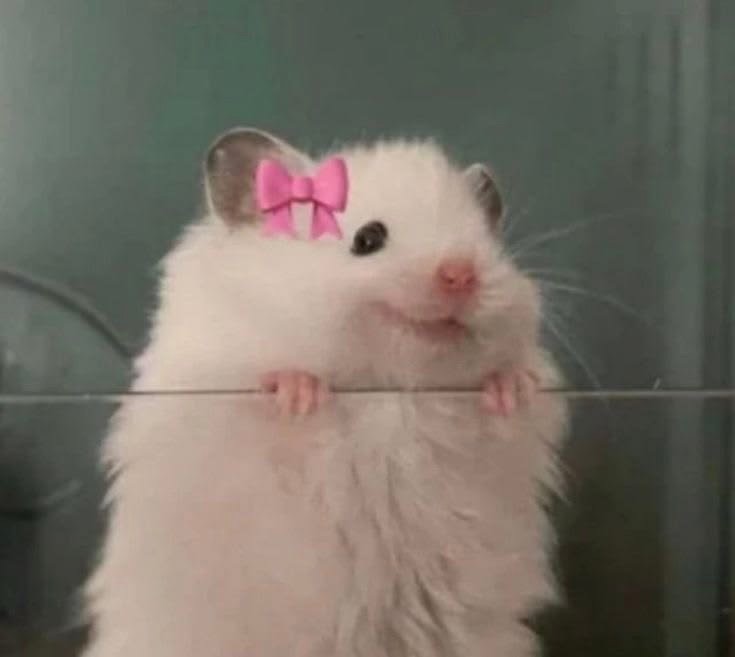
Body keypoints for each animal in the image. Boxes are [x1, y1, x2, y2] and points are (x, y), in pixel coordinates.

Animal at [81, 128, 568, 657]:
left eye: (487, 243)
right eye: (368, 238)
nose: (461, 273)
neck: (385, 388)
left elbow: (508, 402)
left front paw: (511, 386)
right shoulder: (214, 394)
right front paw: (297, 392)